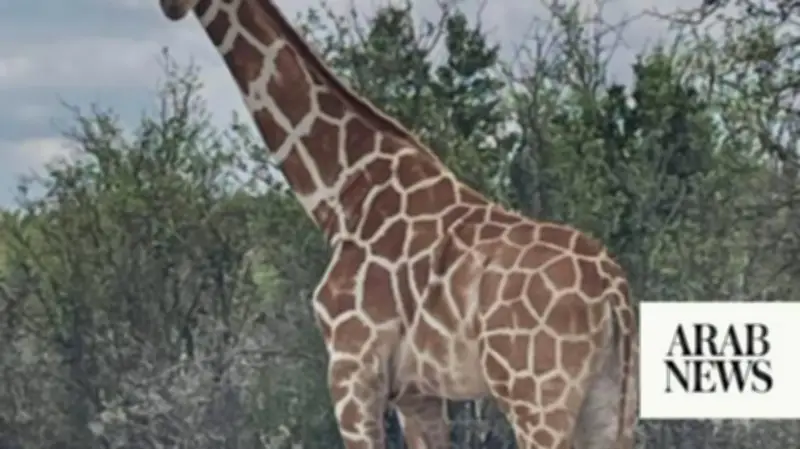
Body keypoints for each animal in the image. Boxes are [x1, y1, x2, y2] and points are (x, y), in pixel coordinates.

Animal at [157, 1, 639, 448]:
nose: (171, 9)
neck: (342, 194)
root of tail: (612, 289)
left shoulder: (352, 368)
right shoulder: (416, 392)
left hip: (536, 395)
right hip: (611, 397)